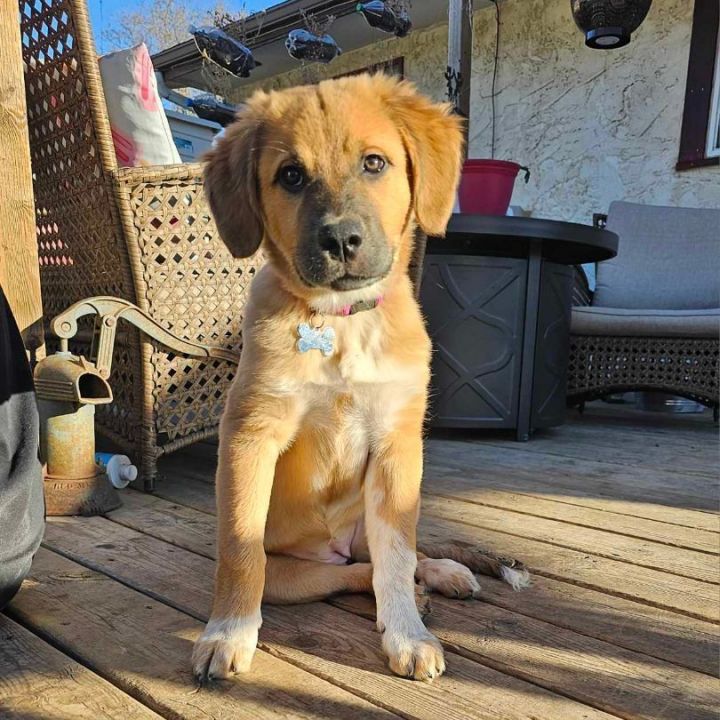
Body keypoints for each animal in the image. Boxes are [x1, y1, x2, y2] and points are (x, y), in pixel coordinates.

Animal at [191, 74, 528, 688]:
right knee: (345, 574)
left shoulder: (397, 445)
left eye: (374, 163)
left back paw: (440, 573)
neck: (341, 322)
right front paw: (226, 633)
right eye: (290, 176)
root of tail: (334, 547)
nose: (341, 241)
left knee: (392, 557)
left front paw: (408, 635)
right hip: (296, 574)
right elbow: (240, 550)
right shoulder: (250, 435)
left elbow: (396, 556)